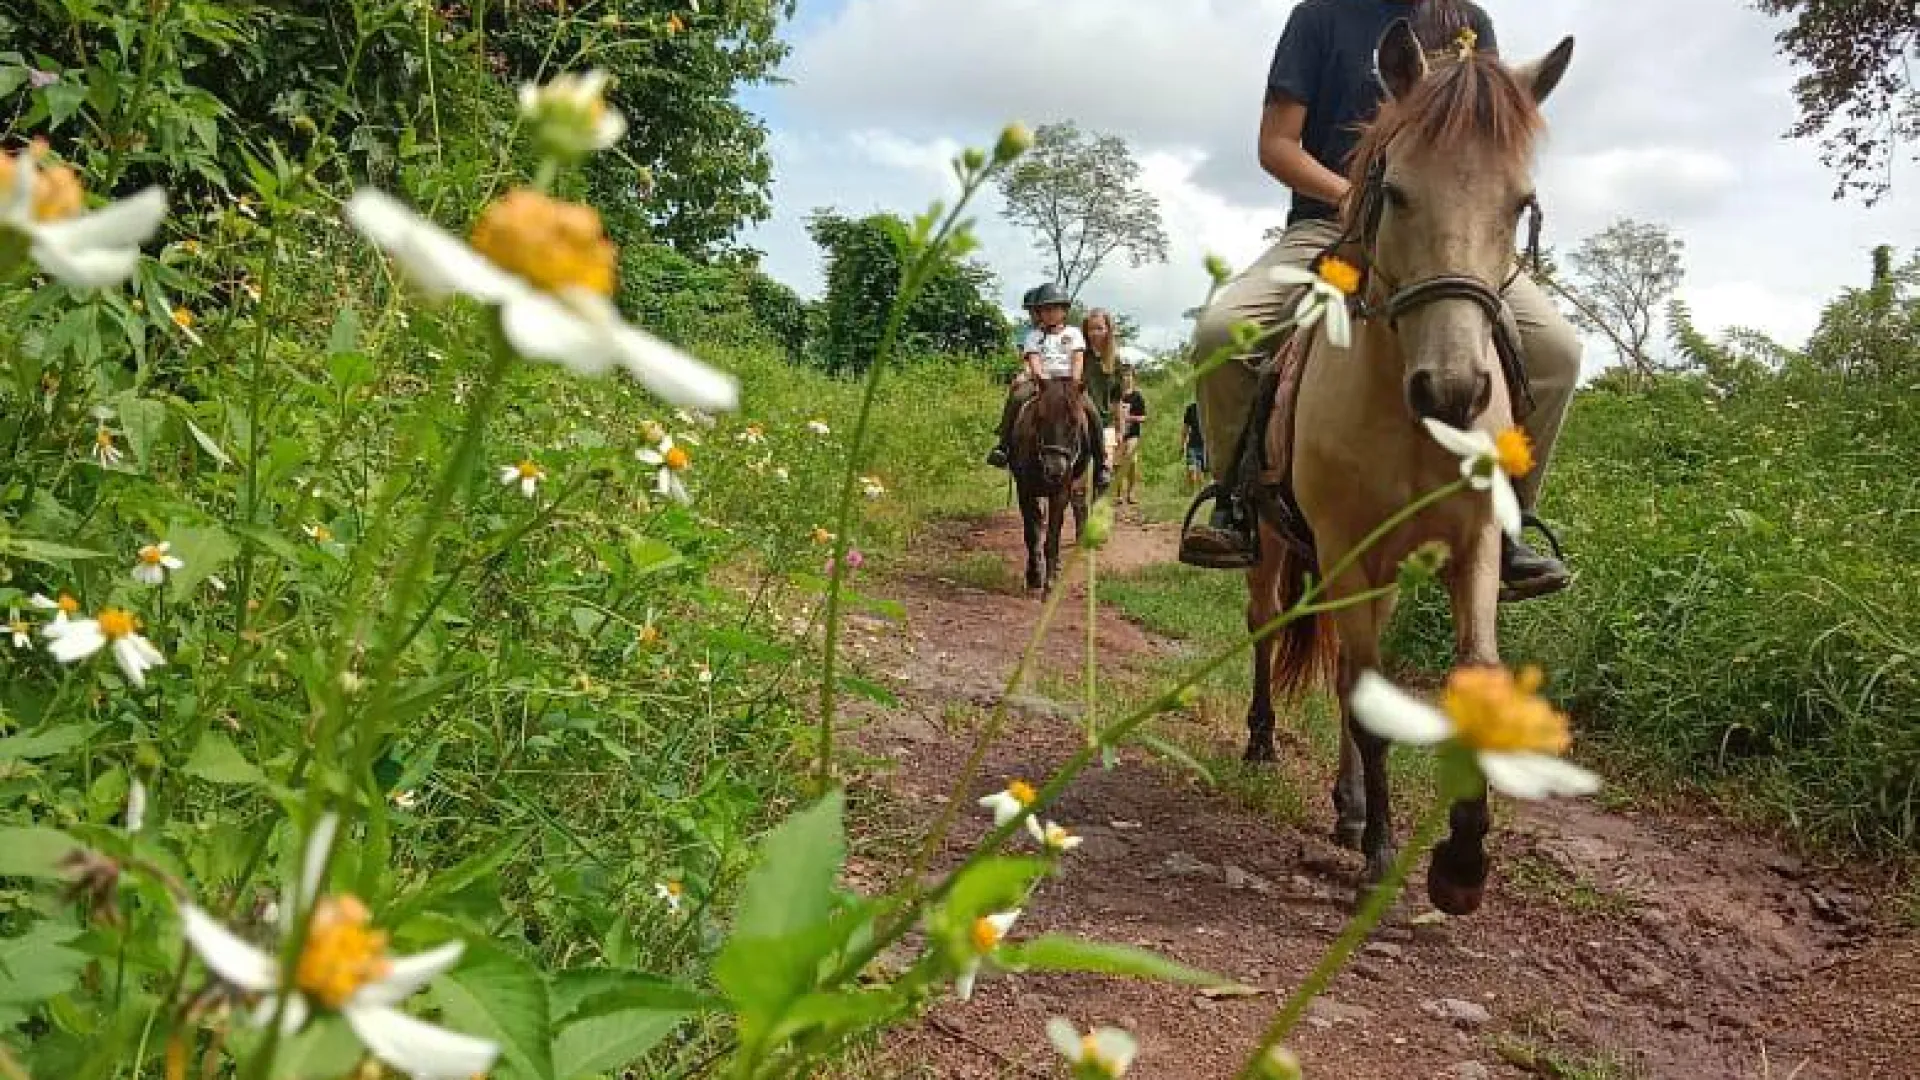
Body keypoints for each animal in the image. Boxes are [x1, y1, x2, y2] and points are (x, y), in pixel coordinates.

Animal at [1011, 376, 1091, 592]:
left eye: (1074, 422)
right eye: (1041, 418)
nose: (1055, 468)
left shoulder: (1060, 494)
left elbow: (1053, 537)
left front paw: (1051, 581)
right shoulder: (1025, 491)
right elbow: (1032, 534)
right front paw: (1034, 575)